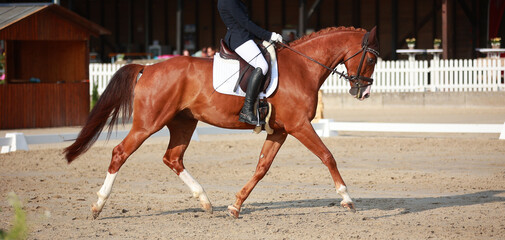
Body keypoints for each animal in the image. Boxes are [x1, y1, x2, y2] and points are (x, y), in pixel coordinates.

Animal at [64, 26, 378, 219]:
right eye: (372, 59)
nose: (363, 92)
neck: (302, 67)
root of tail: (148, 67)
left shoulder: (280, 131)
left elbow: (262, 168)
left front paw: (235, 205)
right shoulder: (300, 126)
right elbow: (328, 156)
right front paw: (347, 198)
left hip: (183, 123)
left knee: (172, 158)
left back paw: (205, 200)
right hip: (147, 123)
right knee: (120, 153)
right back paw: (98, 205)